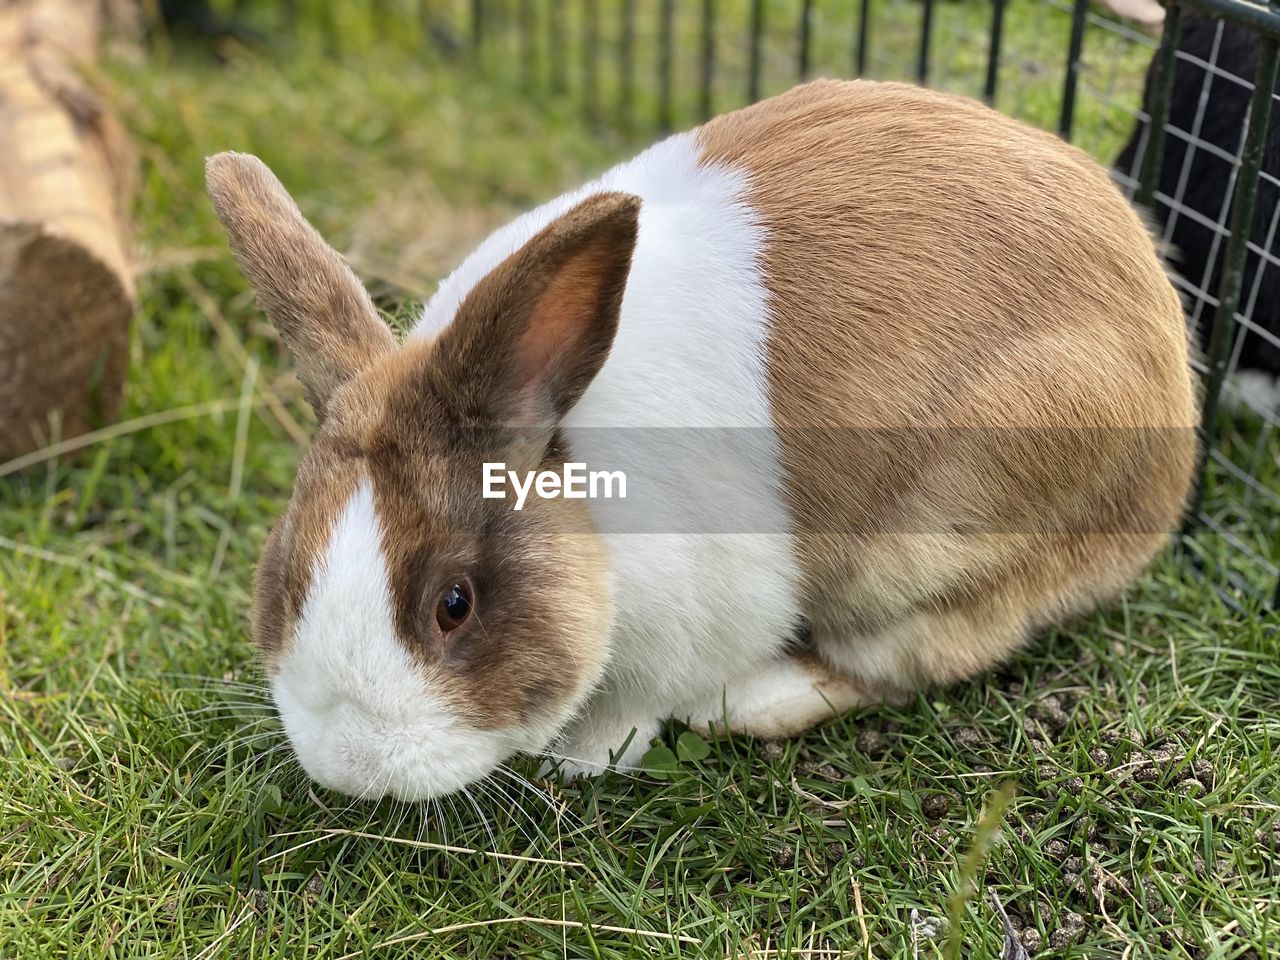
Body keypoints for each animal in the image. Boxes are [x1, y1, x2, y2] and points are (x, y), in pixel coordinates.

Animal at [207, 79, 1198, 798]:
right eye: (285, 572)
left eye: (455, 604)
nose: (350, 768)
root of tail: (1171, 453)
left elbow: (635, 708)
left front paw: (583, 757)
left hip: (934, 539)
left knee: (921, 656)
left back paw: (752, 702)